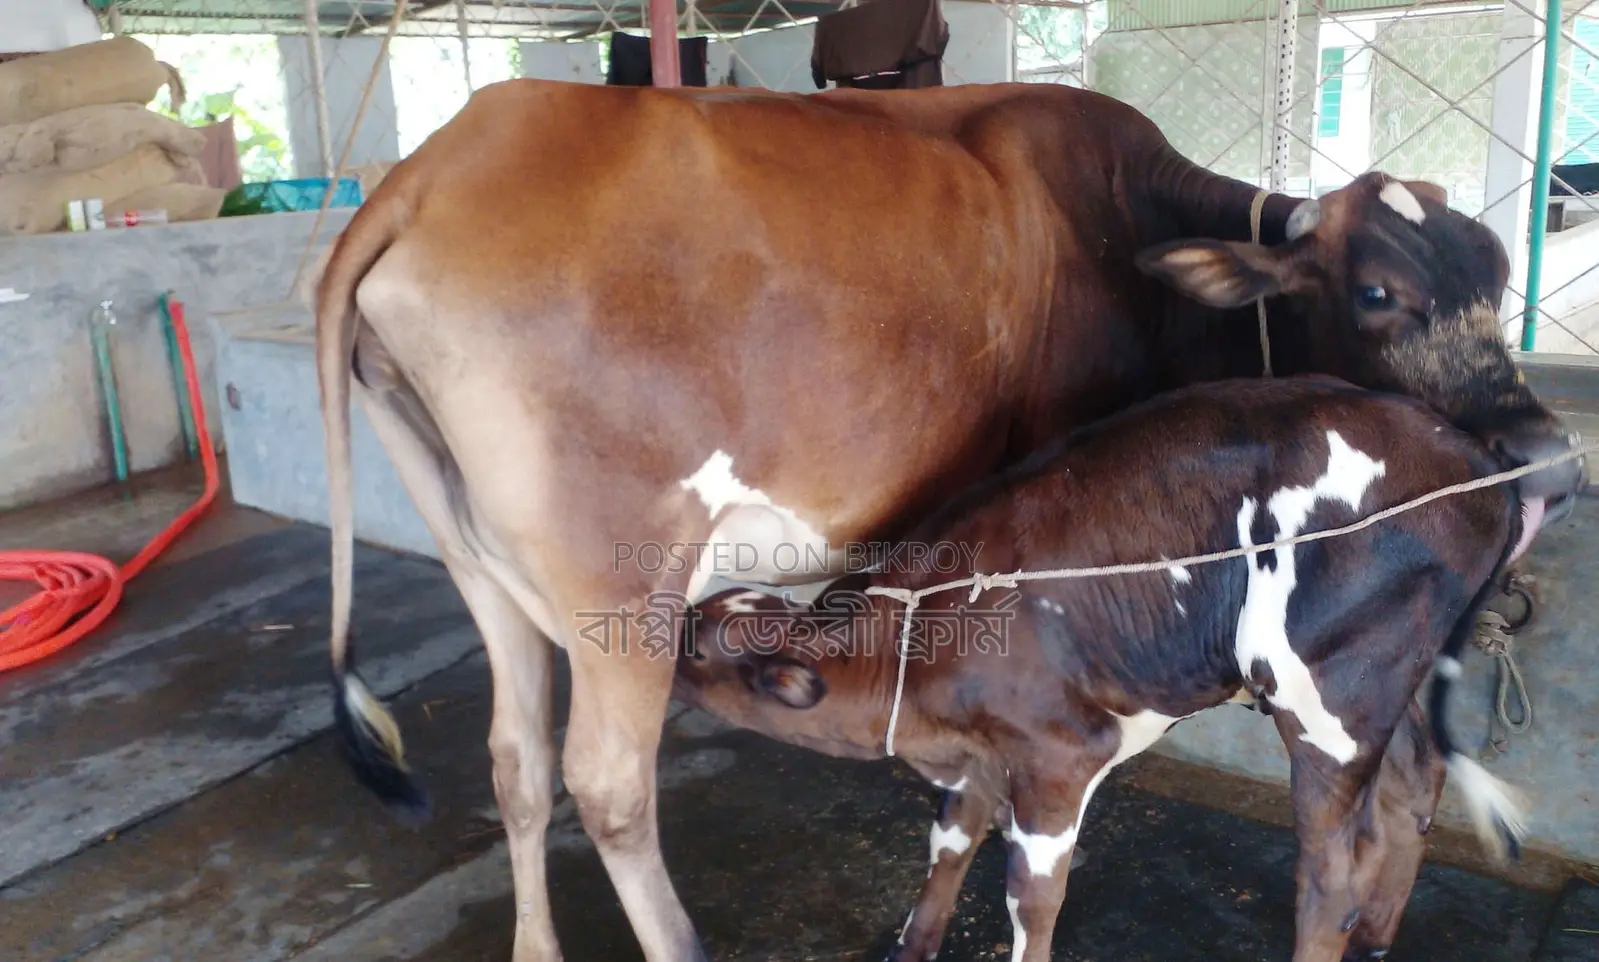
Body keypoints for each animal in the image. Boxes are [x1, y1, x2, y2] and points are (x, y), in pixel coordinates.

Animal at [671, 374, 1550, 962]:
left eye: (698, 645)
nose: (656, 638)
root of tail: (1466, 446)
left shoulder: (1059, 758)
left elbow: (1031, 898)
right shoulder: (973, 759)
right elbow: (946, 847)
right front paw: (910, 948)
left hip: (1324, 697)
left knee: (1334, 870)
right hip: (1394, 675)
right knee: (1412, 787)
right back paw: (1373, 939)